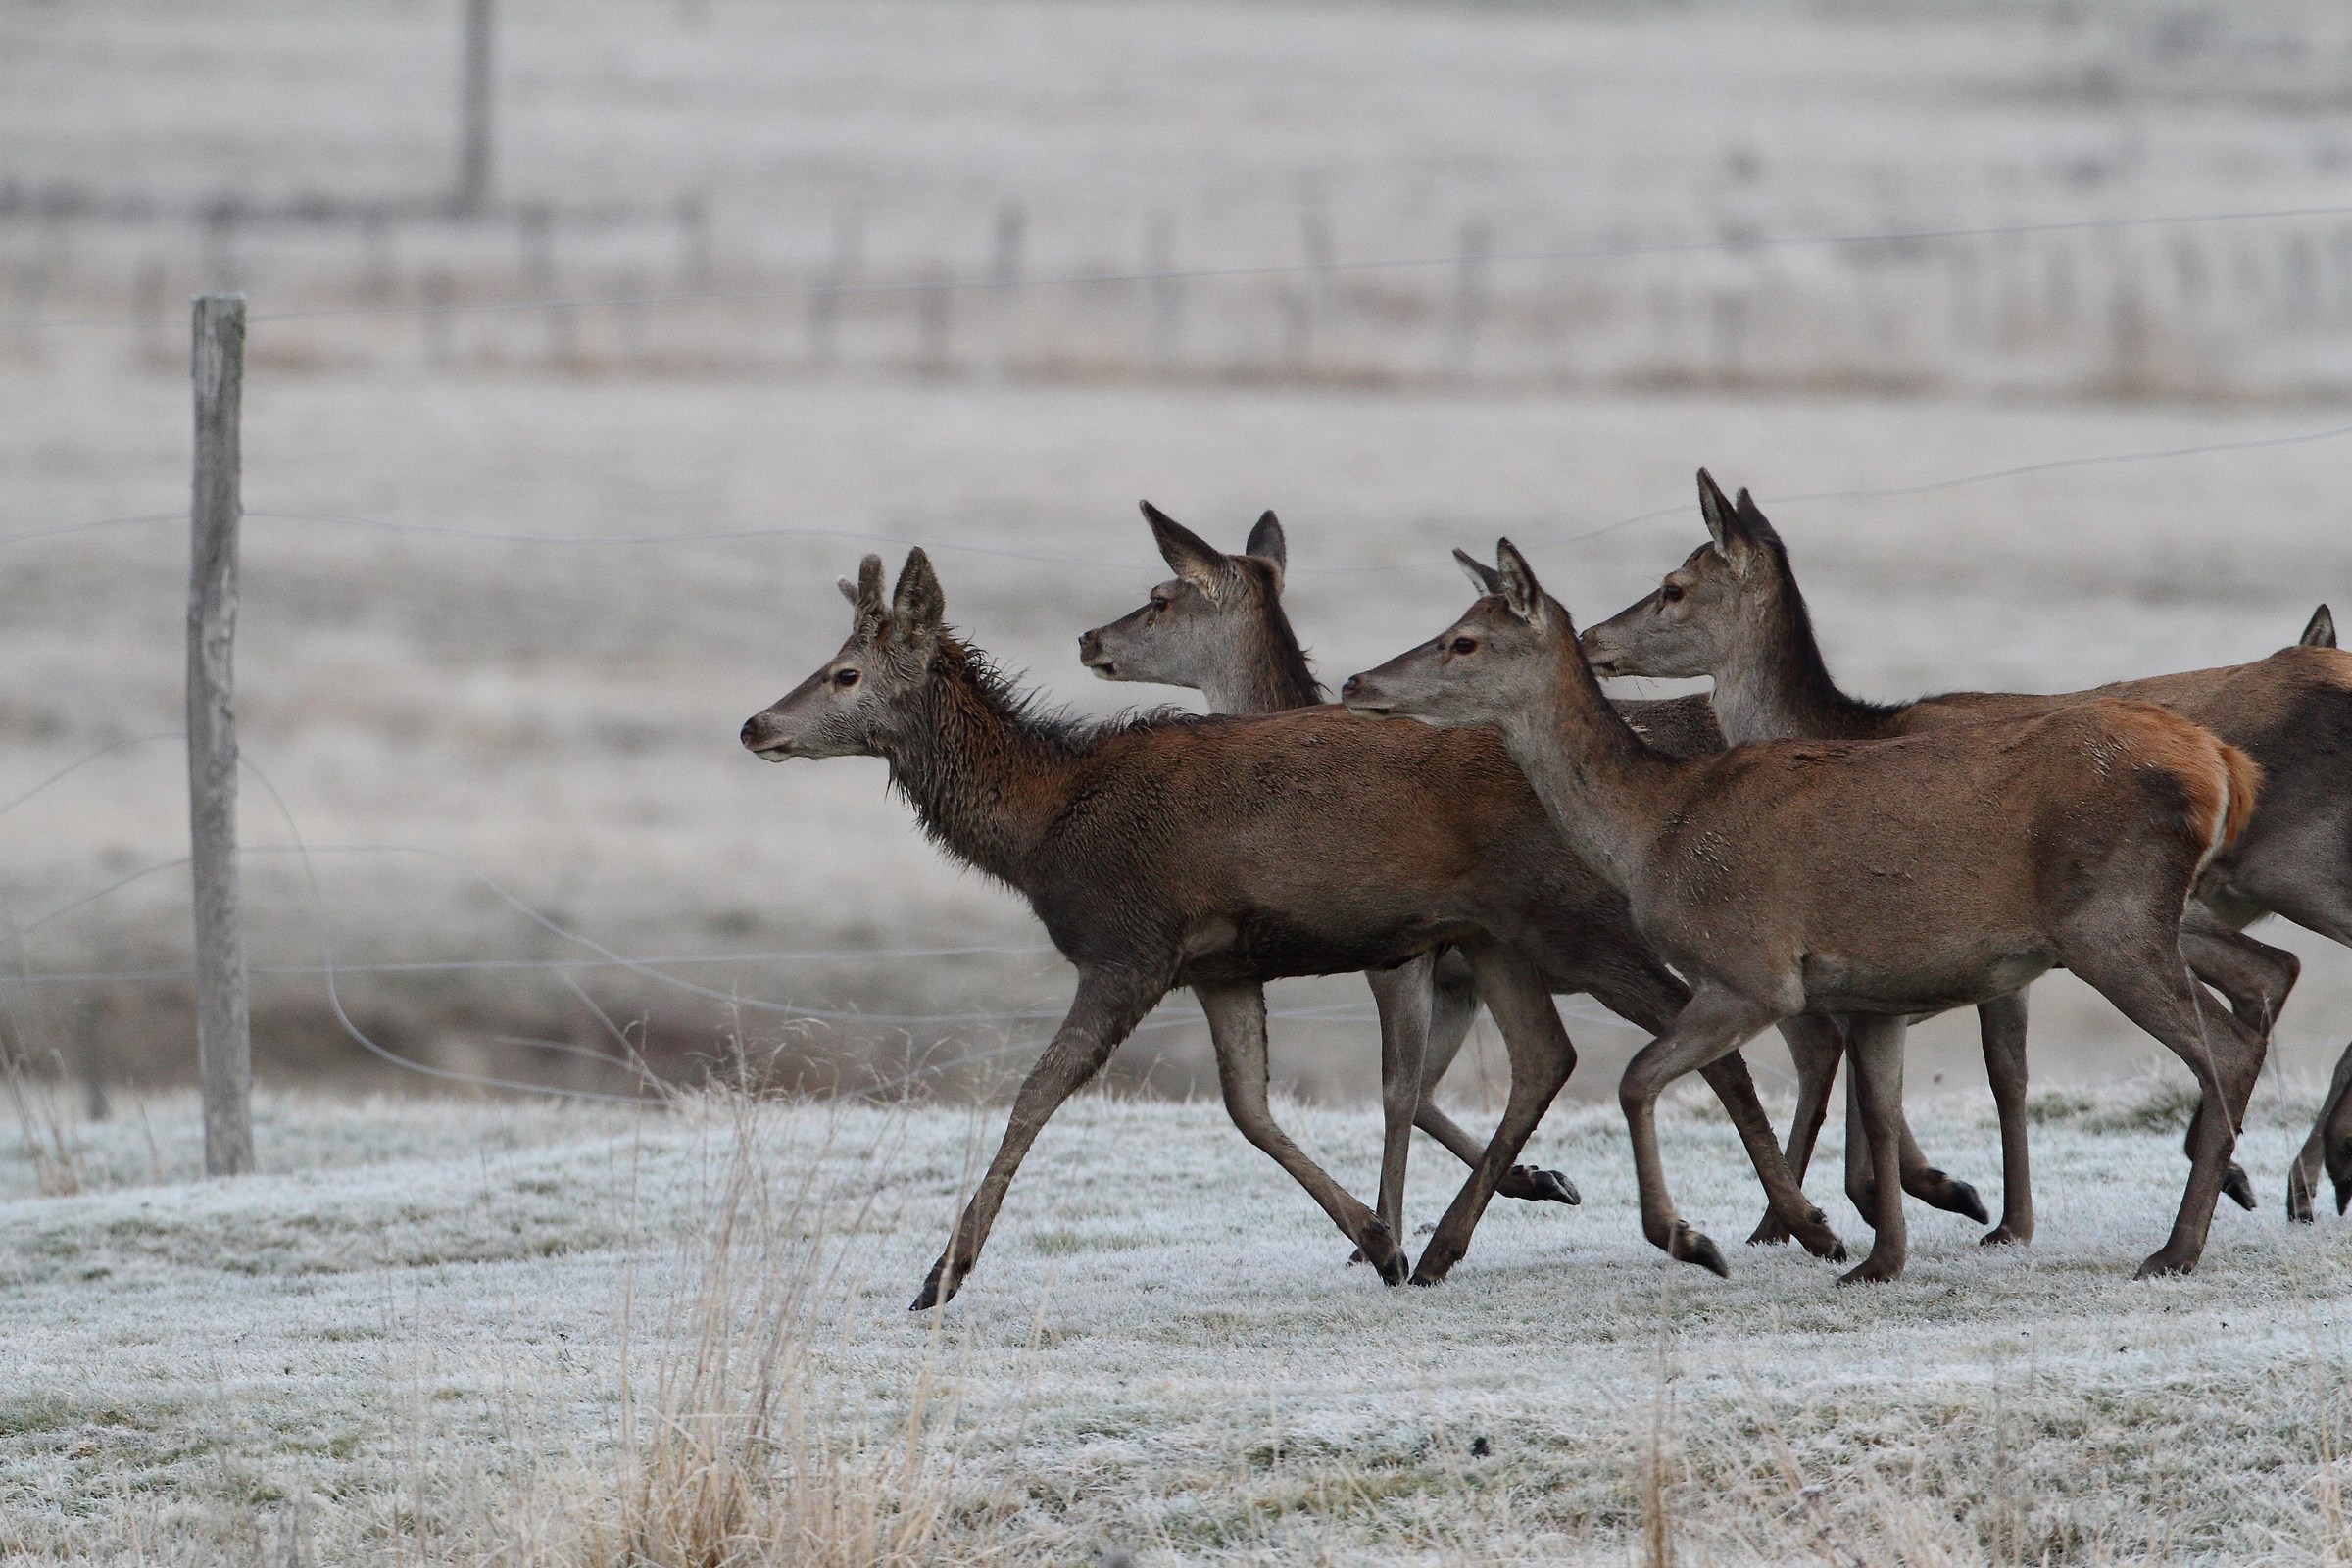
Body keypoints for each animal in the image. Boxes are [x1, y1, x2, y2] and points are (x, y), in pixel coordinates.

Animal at [741, 548, 1848, 1309]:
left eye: (845, 674)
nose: (756, 724)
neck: (1044, 828)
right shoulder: (1219, 965)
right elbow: (1248, 1107)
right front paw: (1377, 1236)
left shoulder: (1129, 944)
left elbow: (1032, 1096)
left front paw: (942, 1272)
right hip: (1497, 935)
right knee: (1551, 1055)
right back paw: (1461, 1238)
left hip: (1576, 919)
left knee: (1706, 1038)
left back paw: (1787, 1223)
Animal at [1078, 501, 1990, 1246]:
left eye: (1160, 596)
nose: (1089, 639)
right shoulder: (1457, 973)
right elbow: (1426, 1091)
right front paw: (1533, 1179)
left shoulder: (1404, 960)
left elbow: (1398, 1090)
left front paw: (1388, 1233)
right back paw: (1913, 1189)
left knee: (1803, 1038)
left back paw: (1802, 1213)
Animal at [1341, 535, 2268, 1283]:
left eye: (1464, 640)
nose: (1356, 679)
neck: (1655, 829)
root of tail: (2224, 765)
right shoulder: (1874, 989)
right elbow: (1881, 1113)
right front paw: (1878, 1258)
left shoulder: (1752, 968)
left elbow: (1640, 1080)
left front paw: (1696, 1238)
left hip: (2114, 922)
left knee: (2223, 1044)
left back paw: (2178, 1246)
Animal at [1580, 476, 2352, 1228]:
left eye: (1674, 586)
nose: (1590, 638)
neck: (1852, 727)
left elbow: (1992, 1070)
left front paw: (1967, 1207)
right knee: (2272, 972)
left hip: (2295, 871)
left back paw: (2295, 1177)